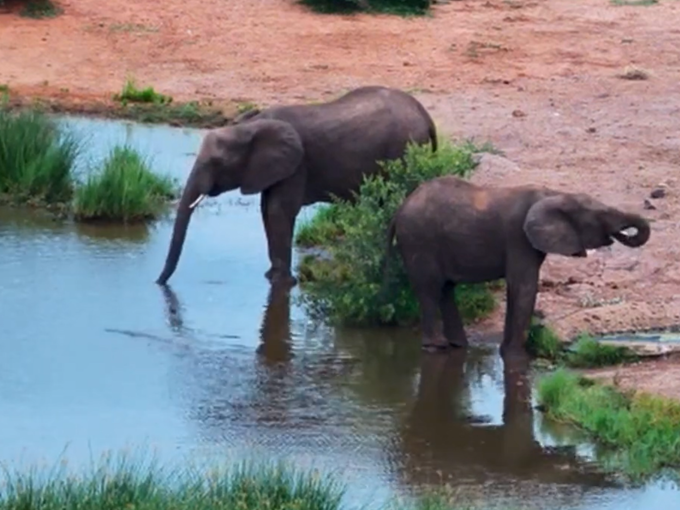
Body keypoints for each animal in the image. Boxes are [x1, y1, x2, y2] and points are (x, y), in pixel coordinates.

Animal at [154, 87, 436, 286]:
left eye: (217, 162)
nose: (159, 283)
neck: (251, 125)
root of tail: (426, 115)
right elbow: (266, 210)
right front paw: (270, 278)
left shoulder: (297, 165)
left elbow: (279, 211)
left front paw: (282, 283)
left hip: (404, 151)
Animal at [386, 175, 652, 358]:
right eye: (601, 216)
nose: (620, 234)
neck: (554, 194)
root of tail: (399, 209)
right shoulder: (518, 237)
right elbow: (524, 286)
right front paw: (516, 356)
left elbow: (518, 288)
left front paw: (507, 351)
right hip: (419, 240)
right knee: (431, 289)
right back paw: (436, 347)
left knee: (445, 289)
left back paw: (458, 346)